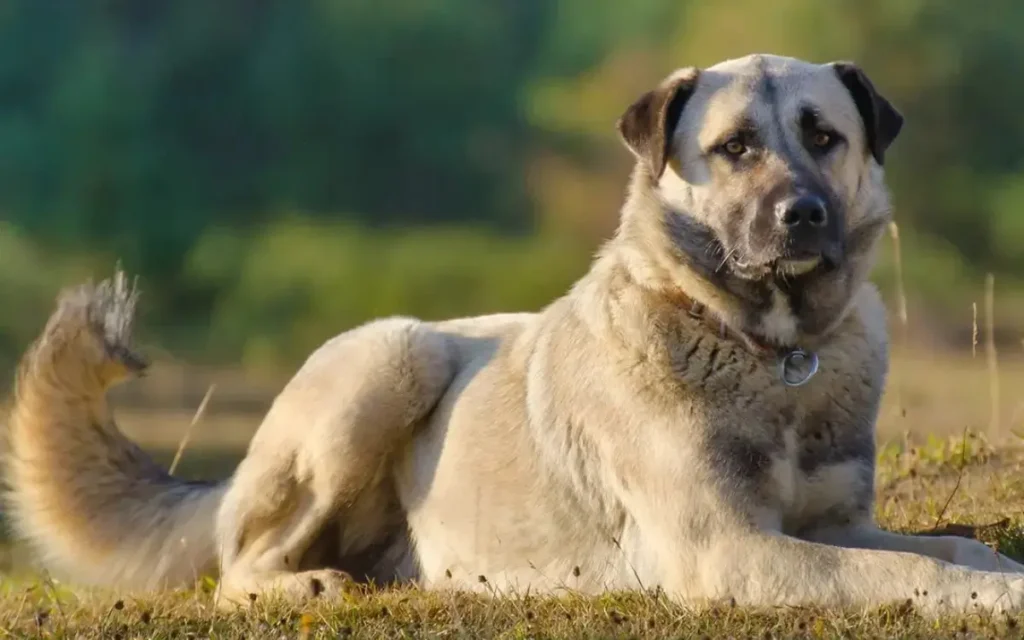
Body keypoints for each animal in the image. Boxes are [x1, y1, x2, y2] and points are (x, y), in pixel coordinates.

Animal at [6, 54, 1024, 614]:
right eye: (735, 148)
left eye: (824, 136)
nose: (802, 216)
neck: (769, 351)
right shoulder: (729, 549)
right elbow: (903, 577)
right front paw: (992, 599)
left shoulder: (835, 524)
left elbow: (947, 549)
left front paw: (995, 569)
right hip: (393, 356)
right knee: (236, 566)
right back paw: (304, 587)